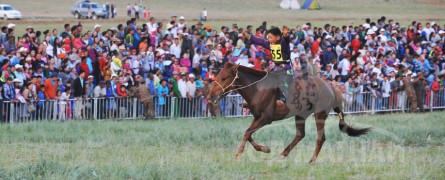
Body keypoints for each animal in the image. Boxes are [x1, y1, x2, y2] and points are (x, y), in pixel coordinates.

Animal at [209, 63, 372, 162]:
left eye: (224, 77)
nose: (210, 96)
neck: (258, 89)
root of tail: (330, 87)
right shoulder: (257, 117)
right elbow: (248, 133)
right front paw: (265, 149)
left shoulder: (266, 118)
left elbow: (247, 133)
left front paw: (238, 155)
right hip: (300, 115)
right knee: (300, 134)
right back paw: (282, 155)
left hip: (320, 114)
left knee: (320, 138)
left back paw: (311, 161)